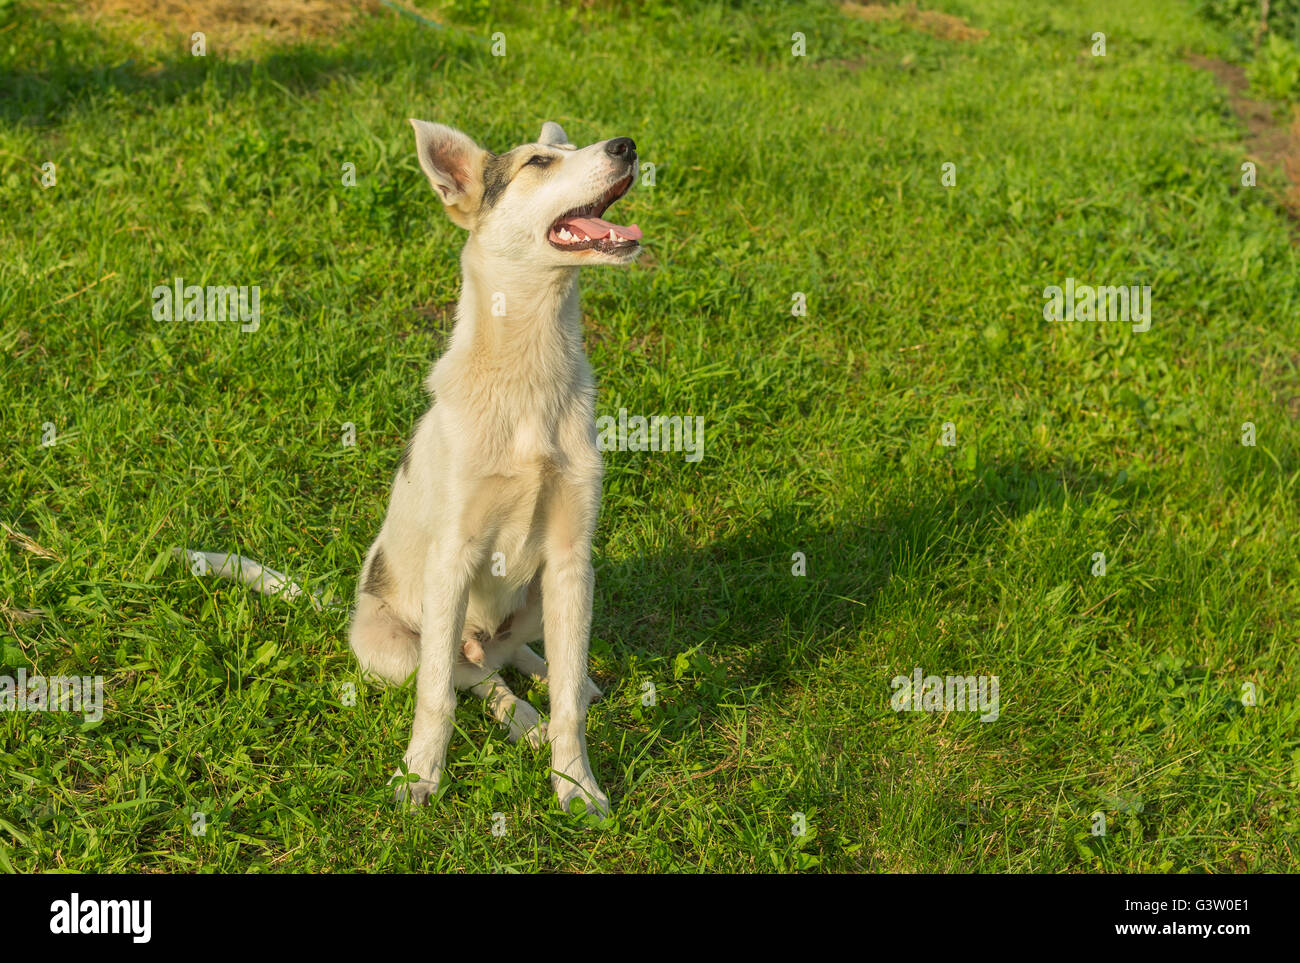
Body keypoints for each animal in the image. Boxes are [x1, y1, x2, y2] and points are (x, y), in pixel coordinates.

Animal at [348, 118, 642, 810]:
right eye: (539, 162)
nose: (626, 146)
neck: (528, 369)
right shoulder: (453, 558)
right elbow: (436, 699)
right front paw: (419, 778)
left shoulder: (571, 558)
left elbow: (569, 704)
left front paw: (576, 786)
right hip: (389, 646)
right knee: (470, 675)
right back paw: (519, 719)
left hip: (550, 593)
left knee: (519, 658)